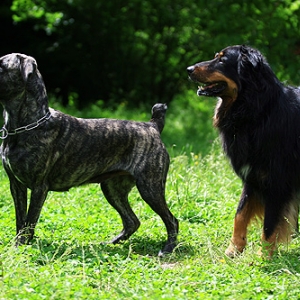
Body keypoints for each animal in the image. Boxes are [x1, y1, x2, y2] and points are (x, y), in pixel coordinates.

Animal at [0, 52, 178, 254]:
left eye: (1, 66)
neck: (27, 124)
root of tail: (152, 126)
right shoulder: (16, 185)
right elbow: (20, 221)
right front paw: (16, 246)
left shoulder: (39, 187)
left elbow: (29, 222)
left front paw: (21, 248)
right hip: (113, 189)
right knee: (132, 221)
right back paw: (111, 243)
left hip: (150, 187)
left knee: (171, 220)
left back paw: (167, 248)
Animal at [188, 45, 300, 258]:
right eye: (215, 56)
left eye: (222, 61)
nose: (188, 69)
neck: (258, 111)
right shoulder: (252, 176)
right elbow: (240, 213)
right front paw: (234, 248)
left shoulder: (277, 182)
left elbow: (269, 224)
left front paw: (264, 257)